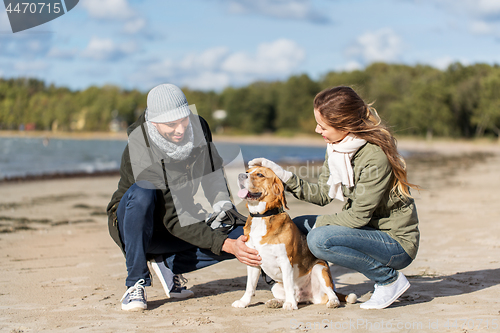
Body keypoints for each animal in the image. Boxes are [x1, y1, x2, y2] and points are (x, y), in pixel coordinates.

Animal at [230, 165, 356, 308]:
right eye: (247, 172)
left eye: (260, 174)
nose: (240, 175)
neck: (263, 216)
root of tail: (306, 296)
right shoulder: (253, 261)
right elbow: (250, 286)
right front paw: (244, 302)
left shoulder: (285, 261)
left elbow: (288, 285)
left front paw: (290, 304)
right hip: (275, 286)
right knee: (294, 297)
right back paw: (277, 302)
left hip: (319, 268)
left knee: (331, 292)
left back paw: (332, 302)